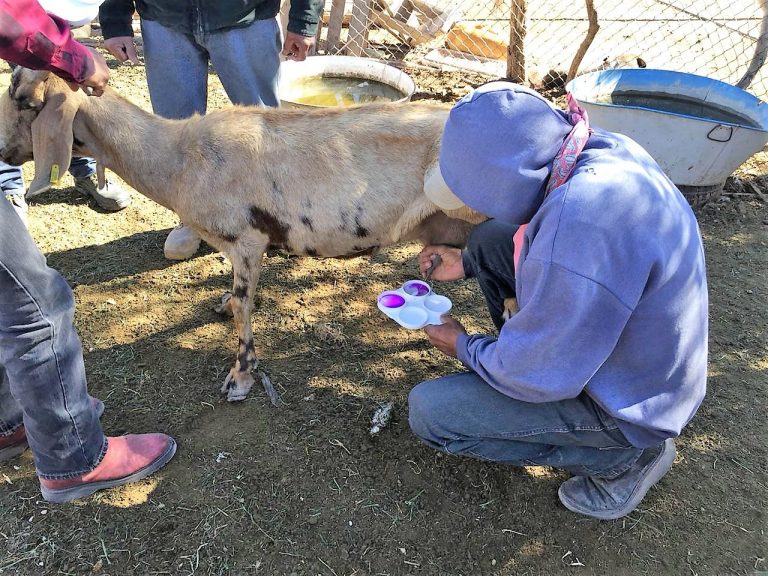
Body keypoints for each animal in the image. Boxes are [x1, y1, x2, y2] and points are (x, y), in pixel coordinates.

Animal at [0, 68, 480, 404]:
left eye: (23, 101)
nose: (2, 150)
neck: (178, 158)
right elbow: (235, 298)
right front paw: (222, 306)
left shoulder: (246, 238)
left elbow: (243, 308)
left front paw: (241, 377)